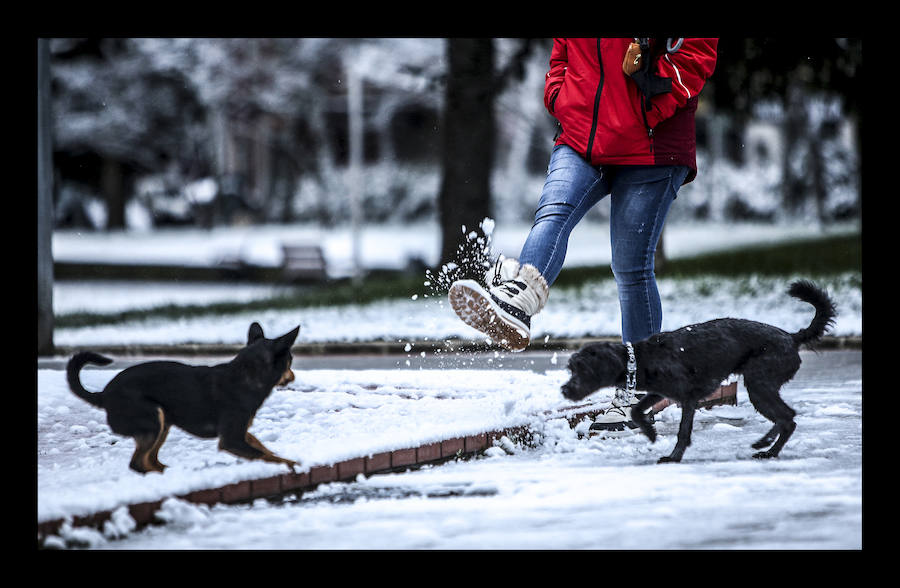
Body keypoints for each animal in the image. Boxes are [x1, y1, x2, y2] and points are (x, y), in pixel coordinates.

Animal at [67, 322, 298, 474]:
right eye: (291, 360)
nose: (294, 376)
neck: (247, 376)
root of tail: (103, 395)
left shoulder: (240, 433)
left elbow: (261, 446)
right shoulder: (231, 440)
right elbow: (263, 454)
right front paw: (290, 464)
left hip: (163, 423)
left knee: (150, 459)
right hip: (153, 419)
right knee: (138, 463)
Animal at [564, 282, 836, 464]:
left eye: (583, 370)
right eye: (571, 368)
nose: (565, 390)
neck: (640, 358)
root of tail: (792, 337)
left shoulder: (689, 397)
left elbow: (683, 430)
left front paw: (673, 457)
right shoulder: (660, 392)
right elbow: (637, 410)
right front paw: (650, 433)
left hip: (759, 384)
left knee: (787, 417)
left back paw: (766, 446)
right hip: (761, 387)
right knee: (787, 420)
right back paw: (769, 449)